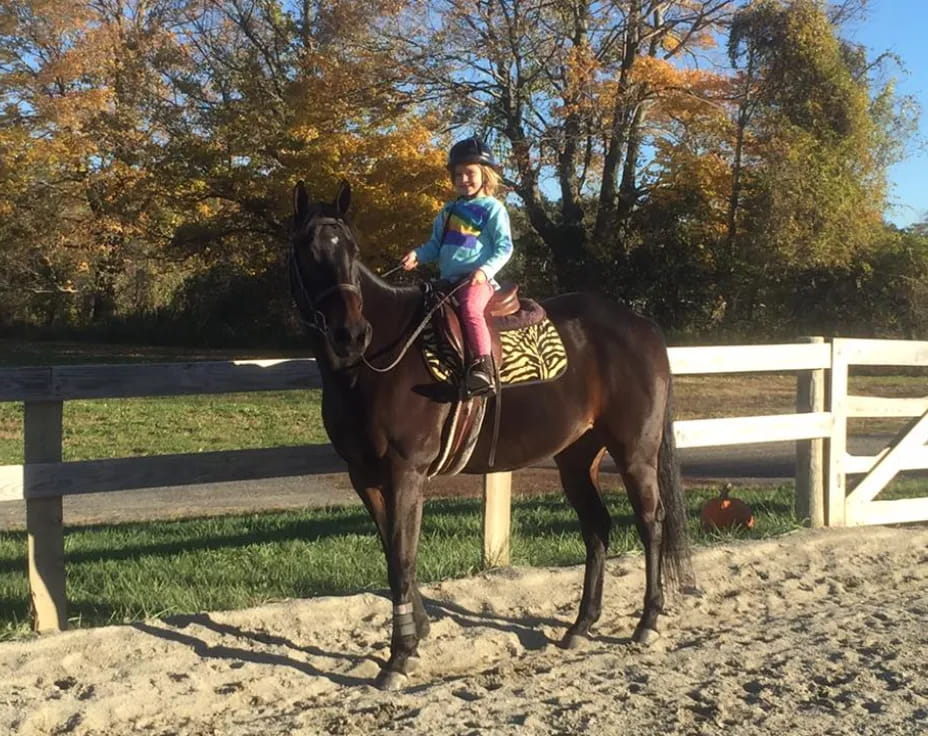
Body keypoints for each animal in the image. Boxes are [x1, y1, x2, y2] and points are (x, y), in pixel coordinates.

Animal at [289, 180, 693, 690]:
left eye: (351, 249)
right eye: (307, 249)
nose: (350, 333)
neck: (373, 364)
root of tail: (641, 325)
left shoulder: (406, 472)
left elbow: (402, 557)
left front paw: (399, 656)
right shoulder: (364, 476)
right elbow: (392, 553)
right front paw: (418, 631)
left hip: (634, 452)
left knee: (650, 523)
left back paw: (647, 621)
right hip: (577, 457)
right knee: (597, 527)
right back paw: (581, 626)